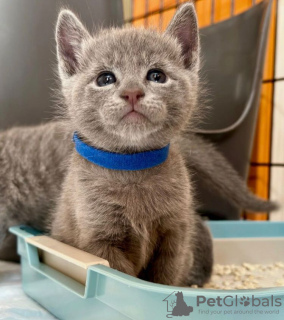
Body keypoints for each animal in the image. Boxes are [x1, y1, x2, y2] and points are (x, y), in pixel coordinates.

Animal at [49, 2, 213, 284]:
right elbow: (122, 277)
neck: (132, 165)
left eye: (157, 75)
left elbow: (164, 278)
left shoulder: (175, 235)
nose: (132, 92)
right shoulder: (98, 239)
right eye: (105, 79)